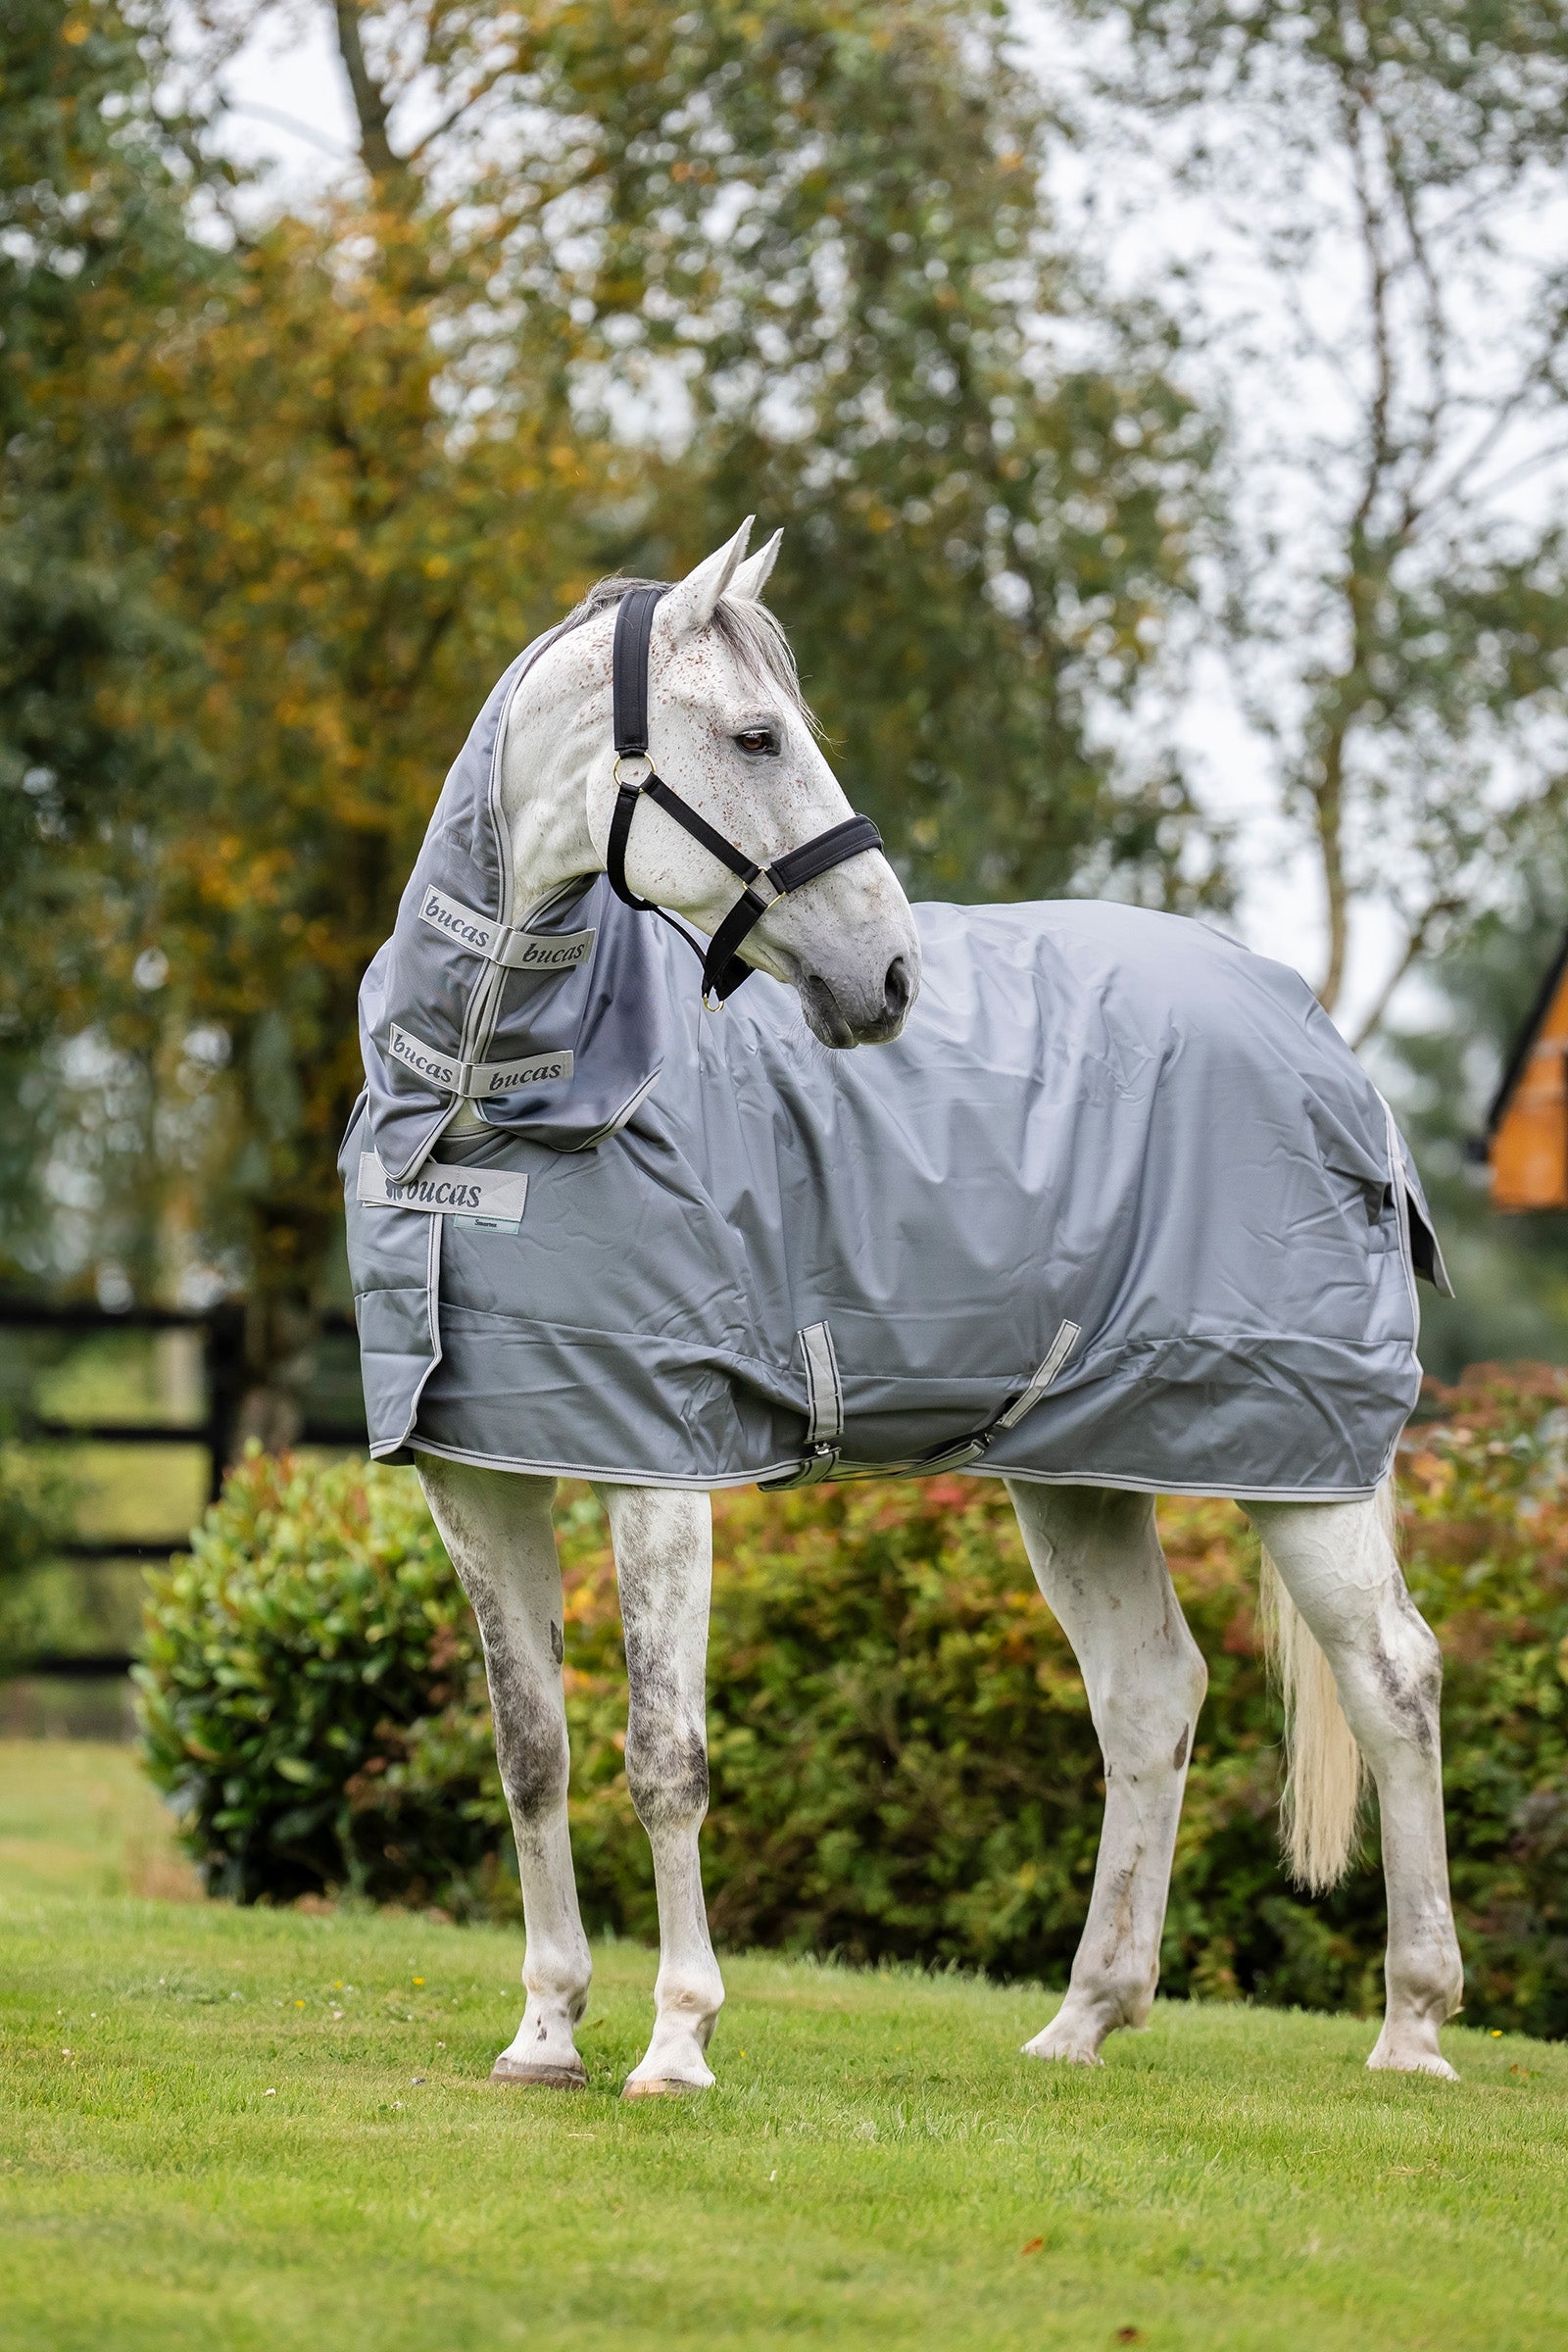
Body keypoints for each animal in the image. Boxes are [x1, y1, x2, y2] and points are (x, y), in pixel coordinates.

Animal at [343, 519, 1464, 2094]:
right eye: (757, 737)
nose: (888, 978)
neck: (491, 1098)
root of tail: (1324, 1044)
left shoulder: (658, 1466)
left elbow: (664, 1755)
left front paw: (676, 2041)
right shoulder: (477, 1470)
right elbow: (532, 1751)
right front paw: (547, 2032)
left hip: (1304, 1464)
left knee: (1394, 1681)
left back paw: (1413, 2026)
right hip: (1080, 1476)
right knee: (1151, 1695)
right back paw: (1084, 2019)